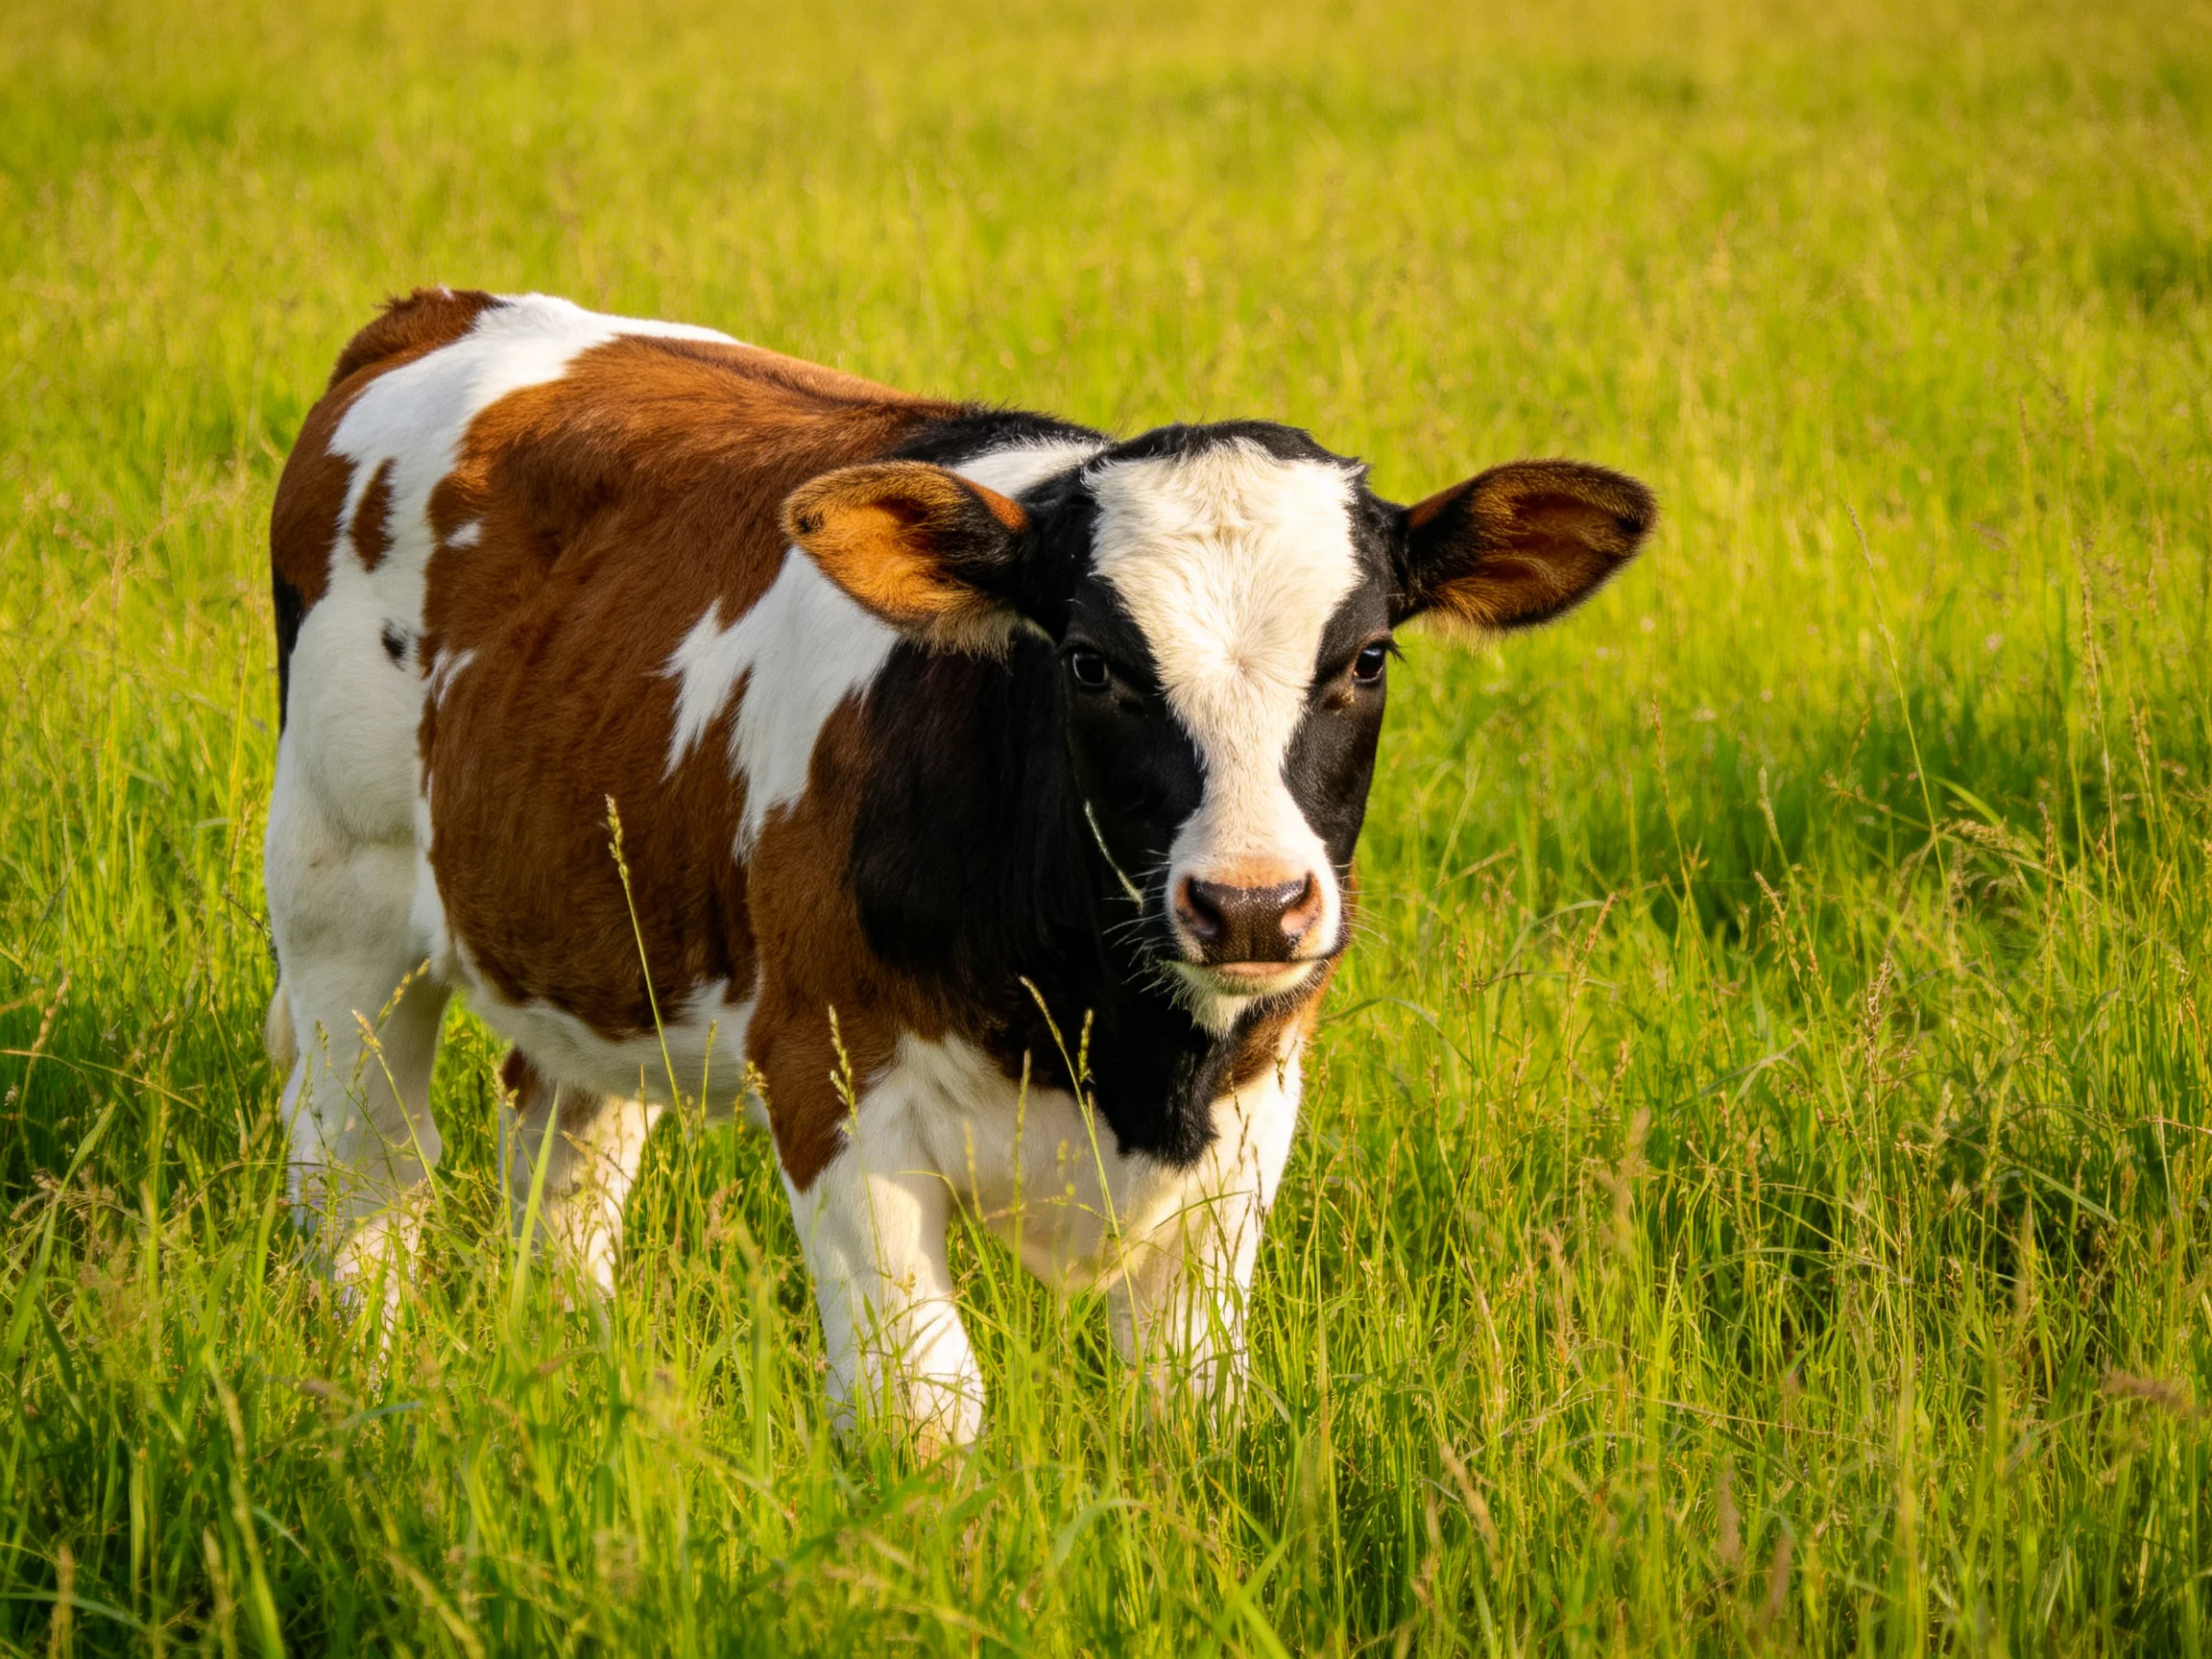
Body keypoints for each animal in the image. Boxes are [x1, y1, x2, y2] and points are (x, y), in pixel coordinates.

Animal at [264, 287, 1654, 1450]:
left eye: (1366, 659)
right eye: (1090, 661)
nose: (1251, 904)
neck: (1123, 1042)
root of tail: (449, 308)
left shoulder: (1254, 1107)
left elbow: (1193, 1397)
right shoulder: (829, 1069)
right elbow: (923, 1406)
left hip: (596, 934)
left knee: (565, 1165)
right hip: (339, 902)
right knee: (366, 1177)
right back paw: (371, 1394)